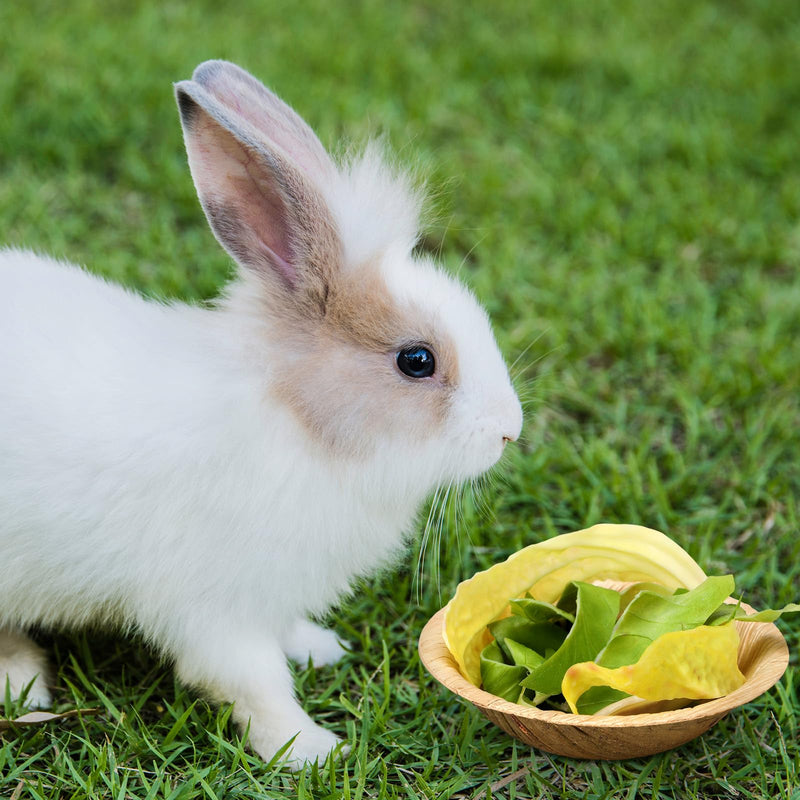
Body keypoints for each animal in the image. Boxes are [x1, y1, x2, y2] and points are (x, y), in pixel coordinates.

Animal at [0, 60, 522, 768]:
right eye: (417, 360)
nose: (509, 430)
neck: (302, 424)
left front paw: (321, 648)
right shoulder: (217, 614)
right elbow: (255, 685)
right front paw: (314, 749)